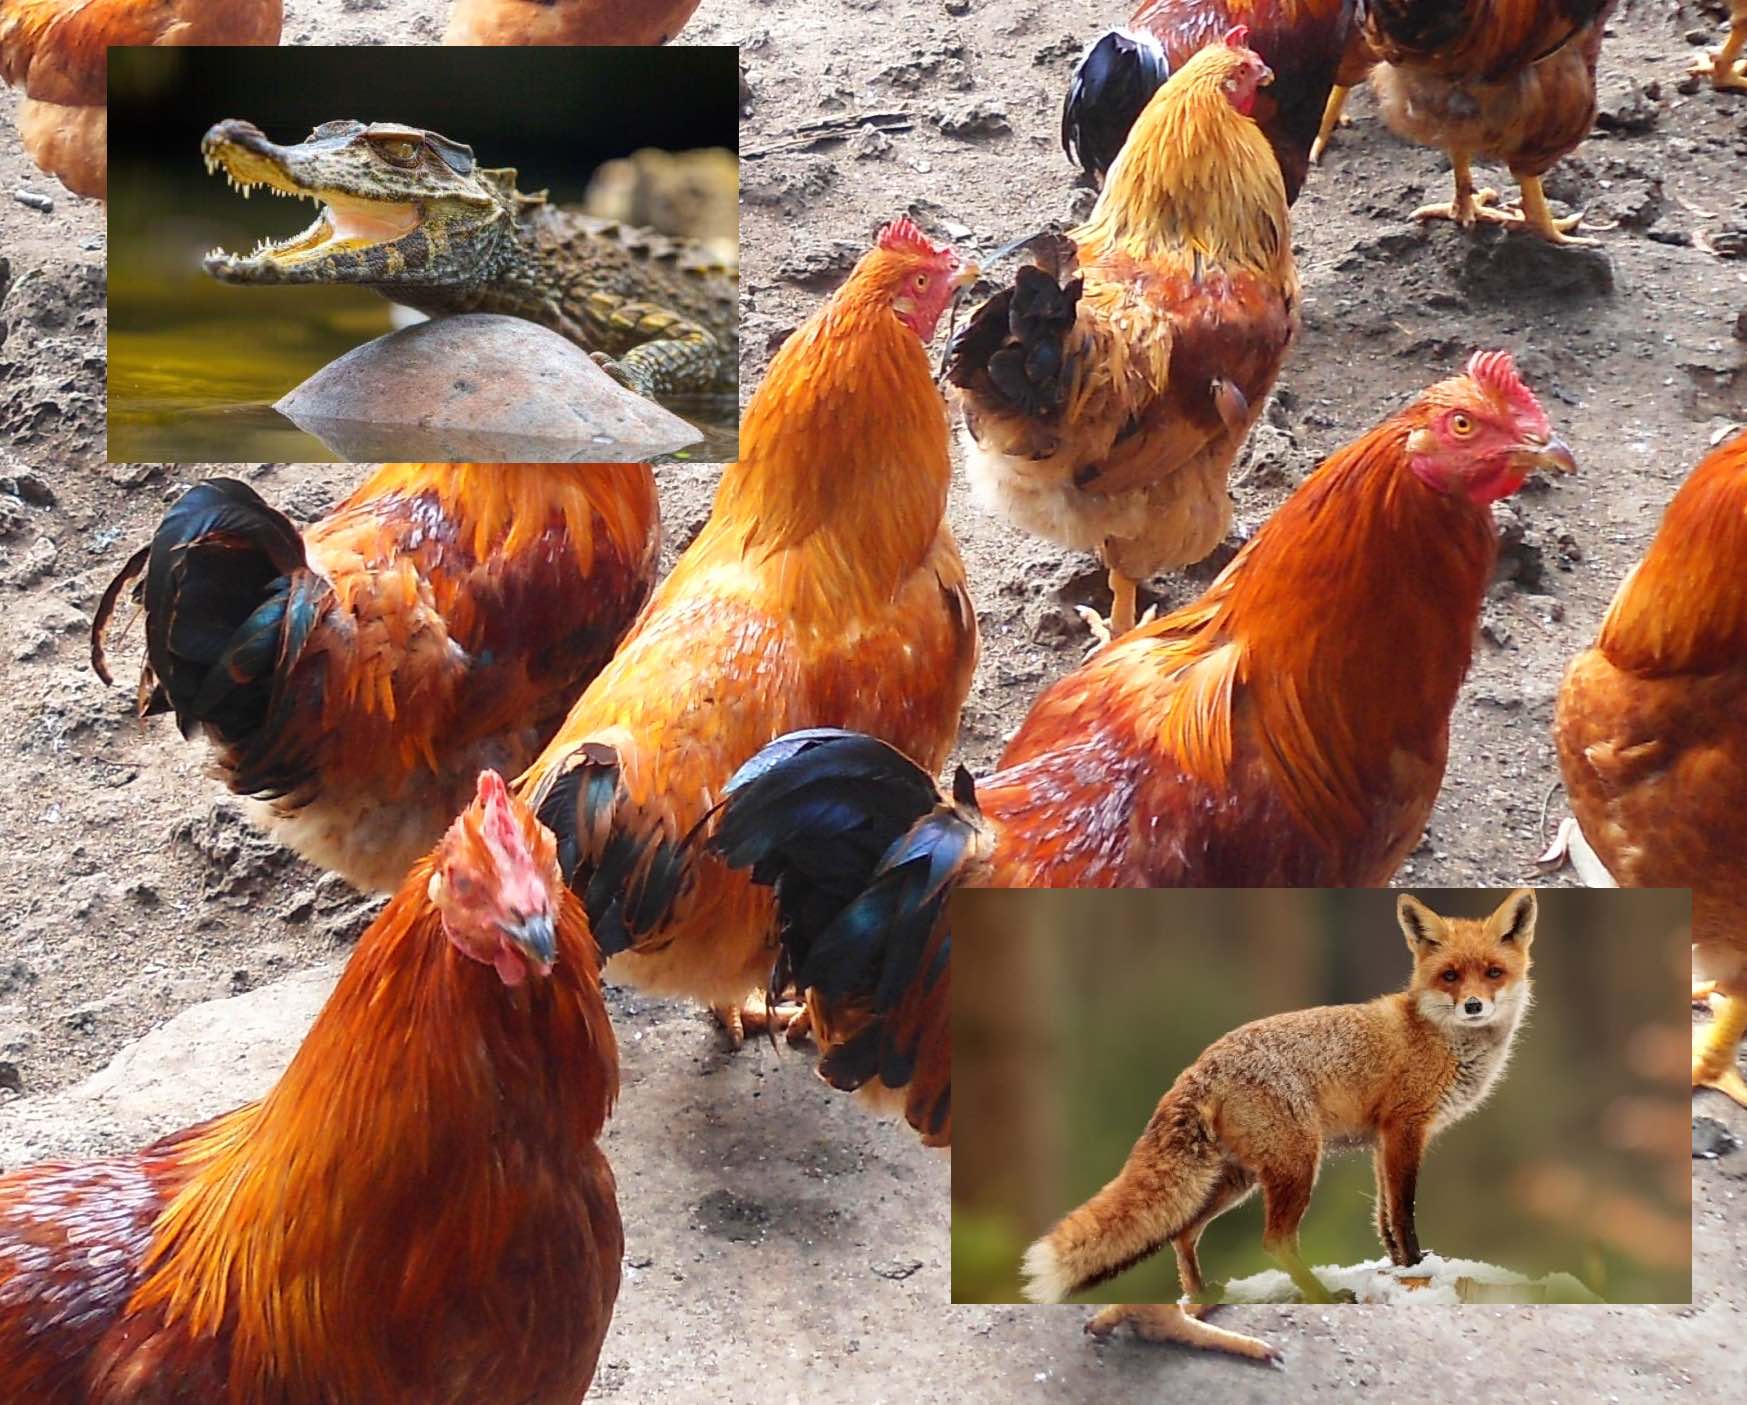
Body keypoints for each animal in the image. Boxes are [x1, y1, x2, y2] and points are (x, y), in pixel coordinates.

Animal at [1021, 888, 1537, 1322]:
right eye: (1450, 976)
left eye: (1493, 972)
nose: (1474, 1006)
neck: (1438, 1037)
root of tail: (1199, 1065)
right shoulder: (1405, 1129)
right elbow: (1403, 1211)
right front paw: (1412, 1265)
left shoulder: (1383, 1141)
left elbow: (1384, 1216)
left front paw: (1399, 1267)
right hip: (1296, 1164)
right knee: (1274, 1240)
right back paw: (1321, 1296)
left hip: (1234, 1180)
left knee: (1183, 1232)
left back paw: (1200, 1293)